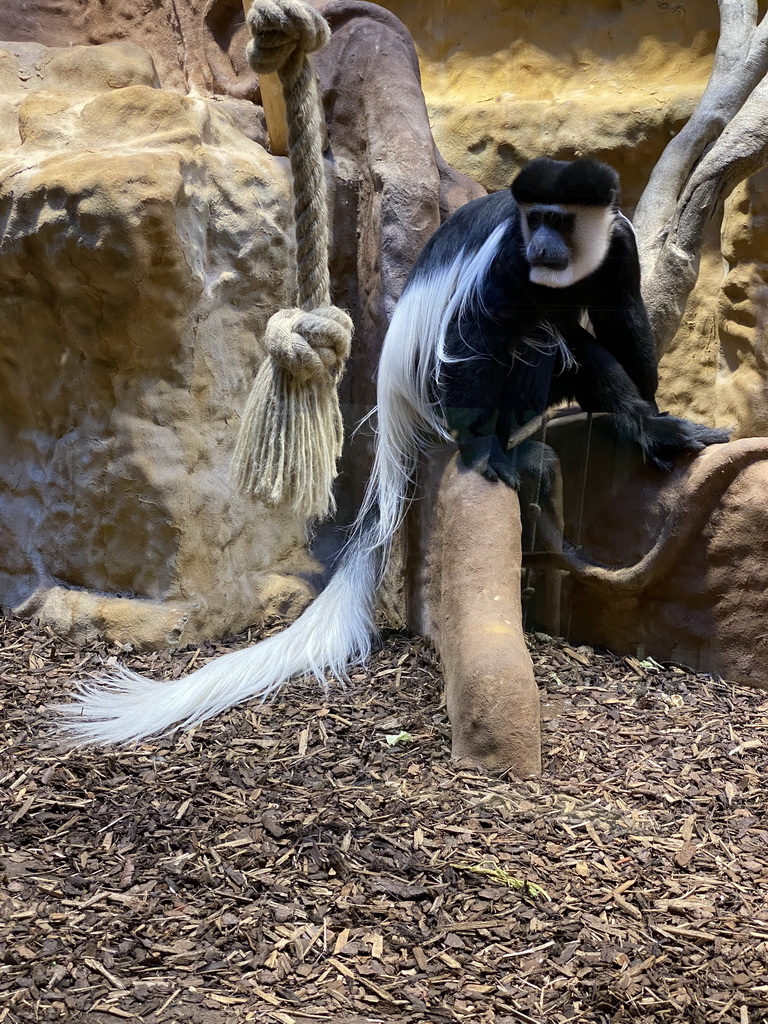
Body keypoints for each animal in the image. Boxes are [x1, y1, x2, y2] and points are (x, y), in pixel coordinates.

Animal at [58, 155, 729, 745]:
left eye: (558, 220)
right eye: (535, 219)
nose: (543, 244)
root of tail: (400, 410)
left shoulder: (617, 247)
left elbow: (623, 317)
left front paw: (650, 410)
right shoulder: (507, 262)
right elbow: (476, 332)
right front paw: (490, 454)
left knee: (574, 344)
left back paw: (640, 426)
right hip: (439, 393)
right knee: (531, 341)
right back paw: (508, 450)